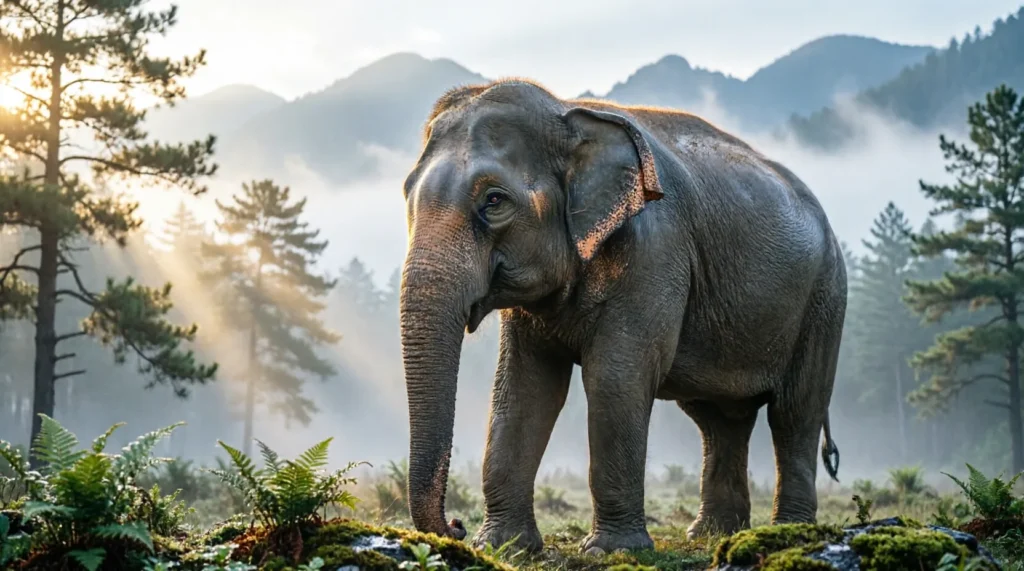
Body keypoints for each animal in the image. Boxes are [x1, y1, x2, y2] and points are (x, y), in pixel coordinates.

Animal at [398, 79, 845, 555]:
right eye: (407, 195)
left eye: (494, 200)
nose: (456, 526)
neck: (566, 111)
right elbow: (523, 387)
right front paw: (504, 547)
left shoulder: (655, 250)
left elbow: (616, 377)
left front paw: (612, 550)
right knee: (719, 420)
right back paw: (713, 533)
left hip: (825, 299)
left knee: (795, 411)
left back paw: (788, 533)